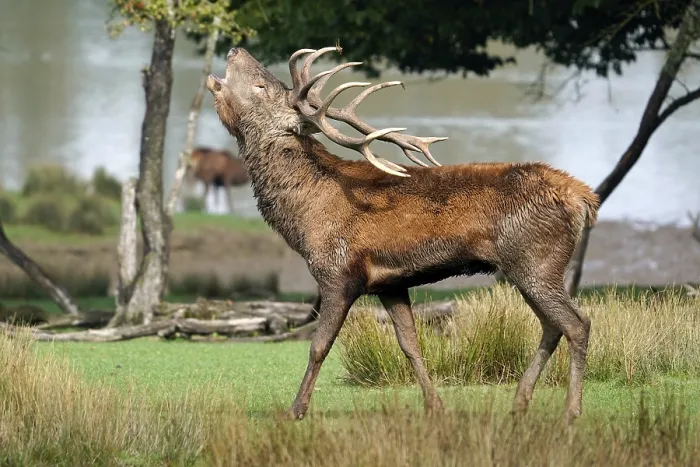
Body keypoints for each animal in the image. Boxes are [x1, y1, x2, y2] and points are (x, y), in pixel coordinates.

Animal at [206, 45, 600, 425]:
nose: (235, 50)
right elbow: (410, 344)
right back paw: (519, 403)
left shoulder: (338, 274)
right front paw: (435, 406)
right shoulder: (389, 283)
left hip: (537, 262)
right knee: (551, 326)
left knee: (577, 323)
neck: (304, 218)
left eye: (262, 88)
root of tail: (584, 198)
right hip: (525, 268)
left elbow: (319, 346)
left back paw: (571, 410)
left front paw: (295, 410)